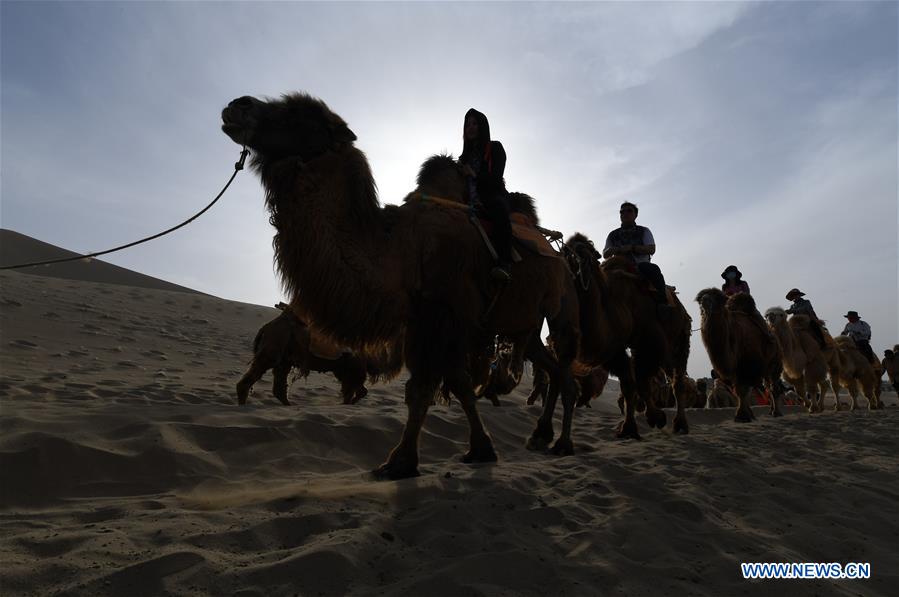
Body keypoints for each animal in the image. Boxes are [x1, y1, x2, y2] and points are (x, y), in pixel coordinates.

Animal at [236, 302, 400, 406]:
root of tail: (266, 327)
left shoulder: (345, 368)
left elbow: (351, 390)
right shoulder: (354, 366)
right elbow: (355, 391)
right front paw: (346, 406)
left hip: (285, 356)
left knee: (279, 381)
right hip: (277, 342)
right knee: (263, 367)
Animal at [692, 288, 784, 420]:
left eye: (717, 298)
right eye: (700, 299)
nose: (705, 300)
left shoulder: (746, 365)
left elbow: (742, 390)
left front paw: (742, 416)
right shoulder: (737, 368)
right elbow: (740, 391)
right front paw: (747, 414)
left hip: (775, 364)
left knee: (773, 387)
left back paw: (777, 412)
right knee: (768, 386)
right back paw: (771, 411)